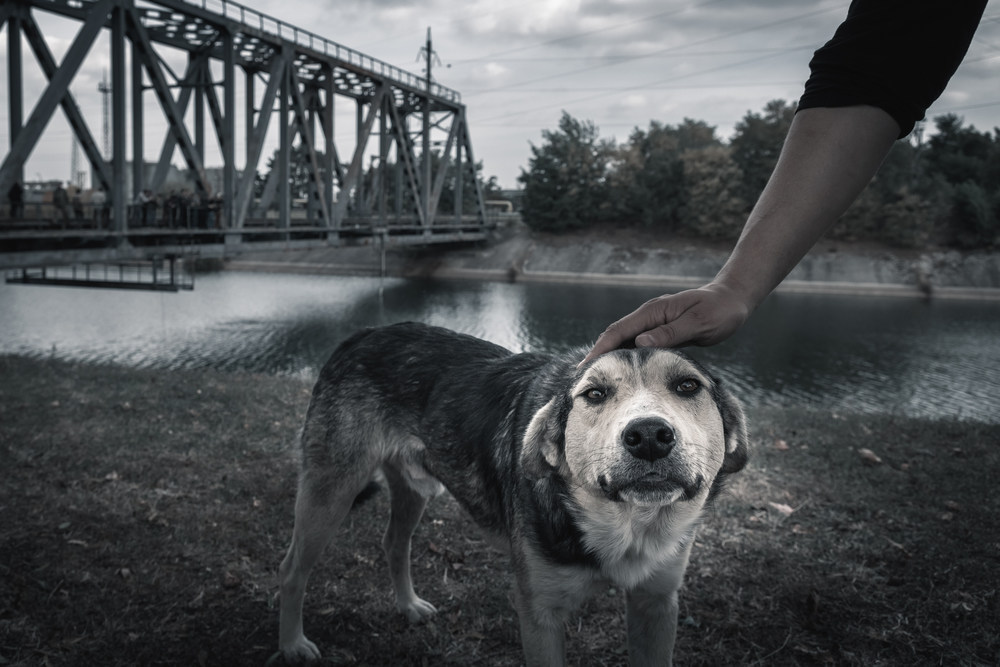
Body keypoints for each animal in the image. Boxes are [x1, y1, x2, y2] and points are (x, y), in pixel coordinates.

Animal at [278, 320, 748, 664]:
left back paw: (408, 605)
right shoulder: (538, 616)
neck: (625, 524)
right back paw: (292, 644)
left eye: (687, 386)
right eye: (594, 394)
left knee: (394, 542)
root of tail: (364, 333)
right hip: (331, 490)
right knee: (291, 568)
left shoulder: (657, 604)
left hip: (413, 488)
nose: (649, 436)